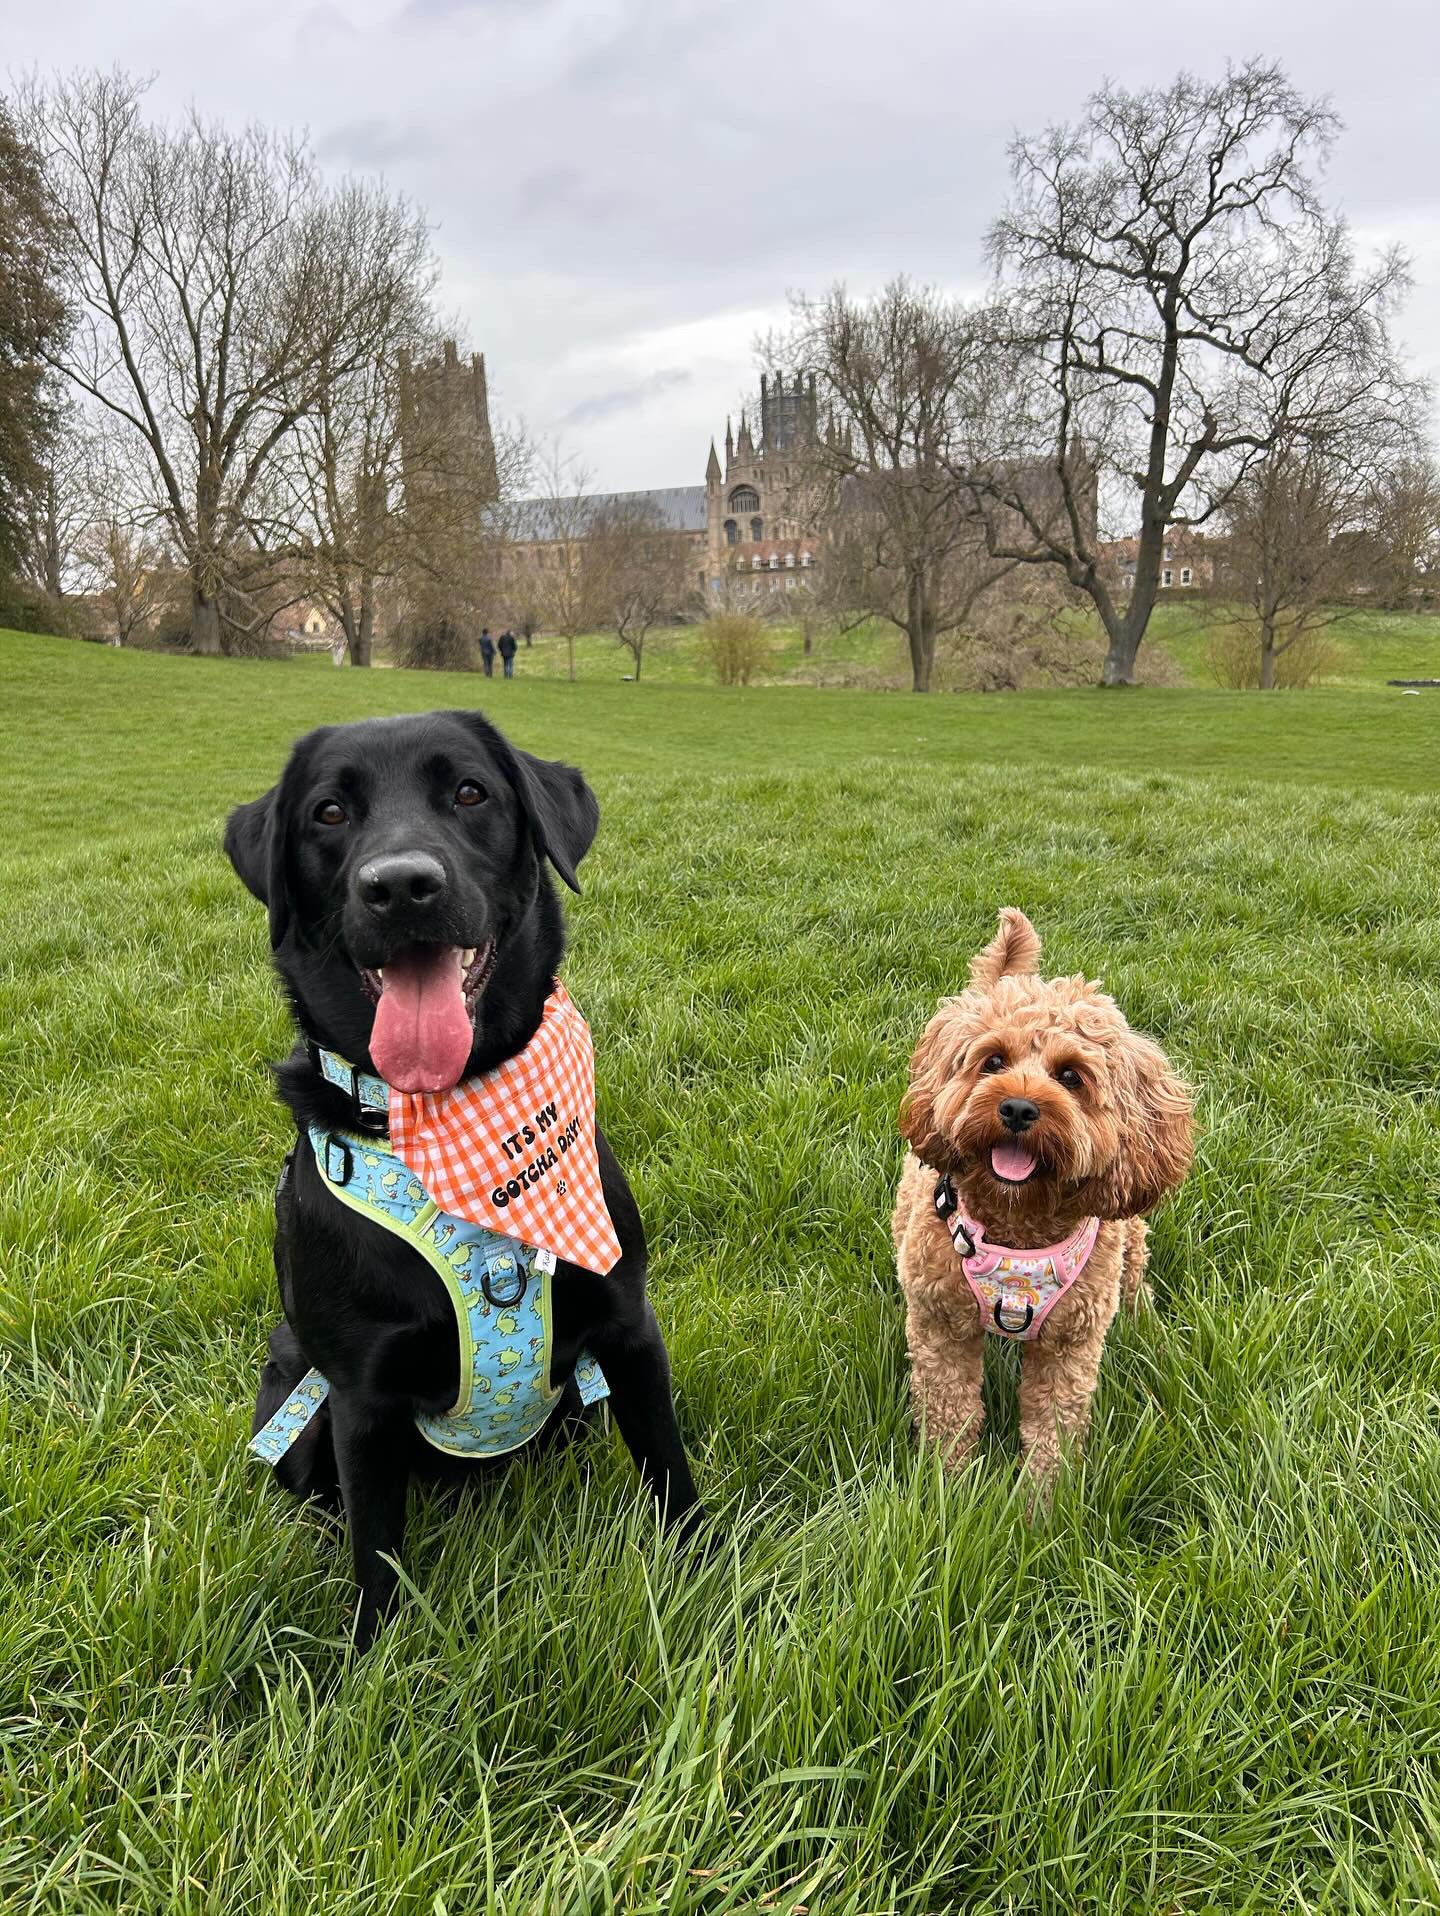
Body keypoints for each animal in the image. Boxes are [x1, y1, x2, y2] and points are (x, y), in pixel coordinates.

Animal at [900, 904, 1194, 1486]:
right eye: (992, 1061)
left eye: (1070, 1076)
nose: (1018, 1108)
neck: (1018, 1221)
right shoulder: (940, 1325)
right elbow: (949, 1414)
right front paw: (947, 1488)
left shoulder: (1068, 1346)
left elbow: (1053, 1431)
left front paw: (1042, 1503)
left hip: (1128, 1238)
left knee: (1135, 1273)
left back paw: (1145, 1322)